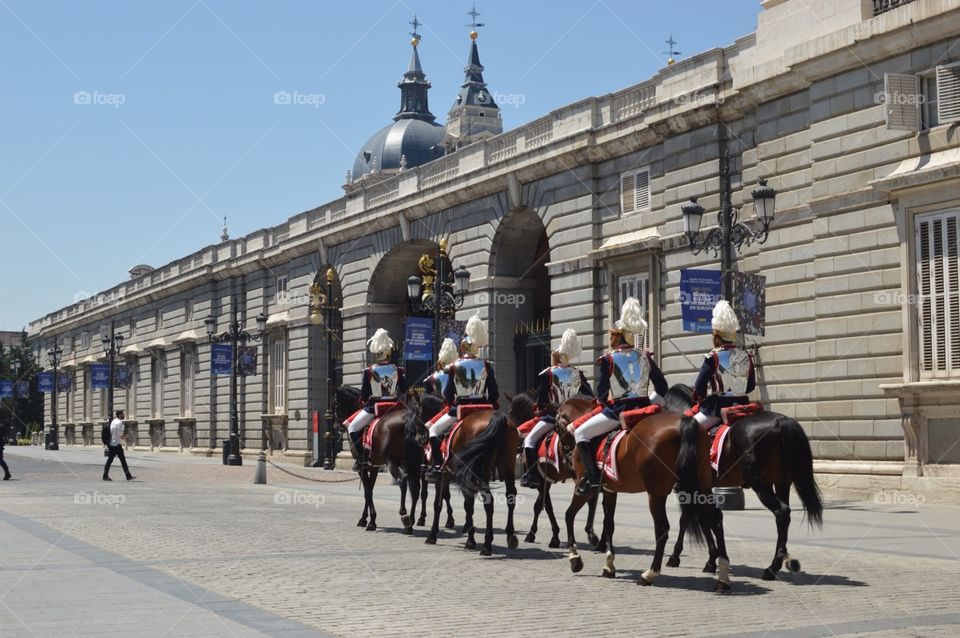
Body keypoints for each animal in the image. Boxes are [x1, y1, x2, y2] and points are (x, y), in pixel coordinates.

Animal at [424, 398, 520, 556]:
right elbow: (467, 505)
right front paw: (469, 535)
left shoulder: (444, 476)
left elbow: (440, 504)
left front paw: (433, 535)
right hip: (506, 465)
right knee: (510, 496)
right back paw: (510, 536)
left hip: (481, 471)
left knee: (488, 502)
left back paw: (487, 545)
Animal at [556, 398, 728, 592]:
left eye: (557, 427)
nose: (566, 461)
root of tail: (685, 423)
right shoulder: (610, 491)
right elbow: (609, 524)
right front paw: (609, 565)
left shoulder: (584, 488)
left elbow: (569, 515)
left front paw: (575, 559)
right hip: (702, 486)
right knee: (715, 520)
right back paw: (723, 577)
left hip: (656, 493)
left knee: (662, 528)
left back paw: (649, 574)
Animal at [660, 382, 824, 584]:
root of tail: (781, 421)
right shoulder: (703, 488)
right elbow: (711, 519)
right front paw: (713, 560)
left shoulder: (691, 488)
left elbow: (691, 519)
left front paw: (677, 556)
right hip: (782, 482)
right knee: (784, 517)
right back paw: (781, 560)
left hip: (761, 484)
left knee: (782, 512)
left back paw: (772, 568)